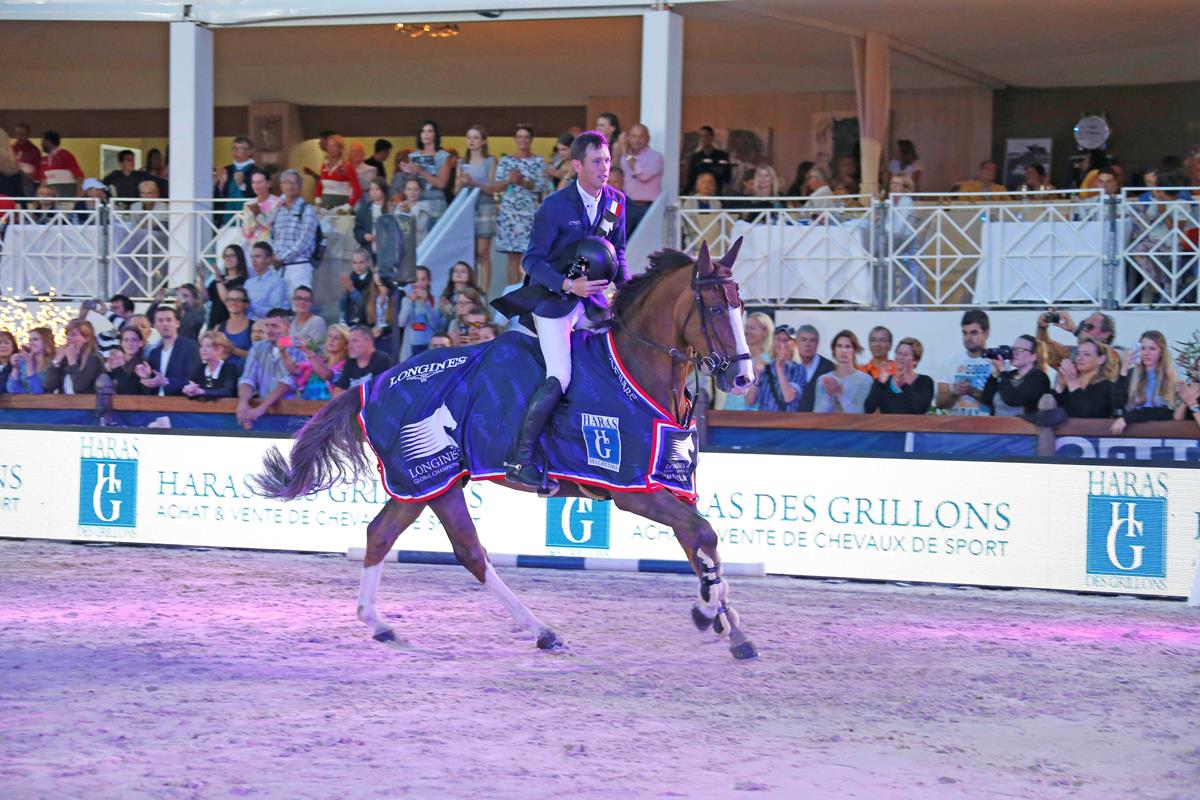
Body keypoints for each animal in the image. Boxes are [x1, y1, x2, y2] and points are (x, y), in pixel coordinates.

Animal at [253, 239, 758, 662]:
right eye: (715, 307)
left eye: (742, 306)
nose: (743, 380)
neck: (639, 369)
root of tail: (371, 385)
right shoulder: (633, 489)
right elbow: (704, 535)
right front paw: (708, 612)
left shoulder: (668, 484)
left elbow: (700, 543)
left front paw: (730, 626)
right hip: (430, 479)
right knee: (467, 551)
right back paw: (540, 630)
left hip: (423, 485)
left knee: (387, 536)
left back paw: (380, 624)